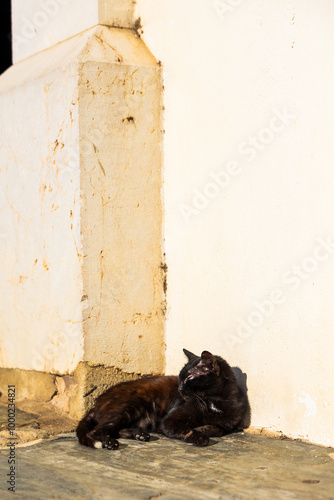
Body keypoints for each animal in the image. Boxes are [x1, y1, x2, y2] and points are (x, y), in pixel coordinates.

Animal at [75, 348, 248, 450]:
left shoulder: (228, 424)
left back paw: (140, 435)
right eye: (180, 378)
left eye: (188, 378)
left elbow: (218, 428)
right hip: (128, 407)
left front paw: (202, 428)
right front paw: (198, 436)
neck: (213, 401)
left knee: (117, 429)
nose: (179, 389)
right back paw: (109, 442)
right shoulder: (169, 421)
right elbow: (186, 429)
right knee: (95, 432)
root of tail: (96, 403)